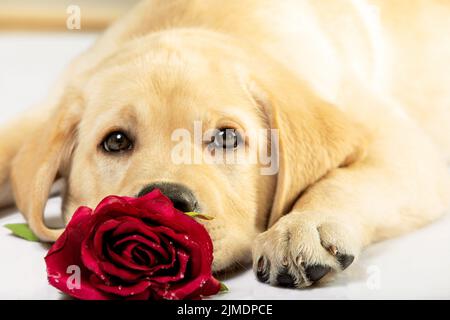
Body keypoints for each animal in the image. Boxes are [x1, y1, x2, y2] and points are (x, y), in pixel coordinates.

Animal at [0, 0, 450, 288]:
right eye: (115, 141)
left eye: (227, 137)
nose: (166, 202)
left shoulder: (408, 147)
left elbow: (342, 180)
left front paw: (303, 226)